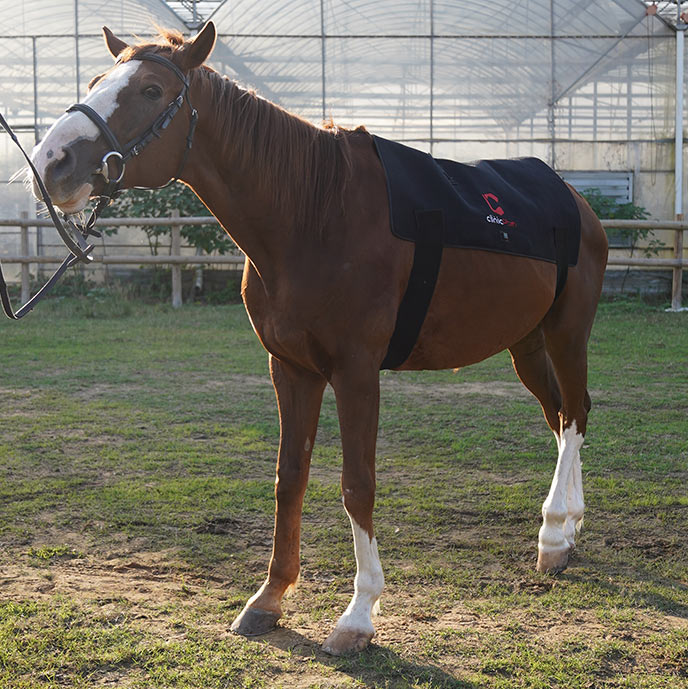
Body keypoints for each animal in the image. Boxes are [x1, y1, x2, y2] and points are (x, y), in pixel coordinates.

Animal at [30, 22, 608, 656]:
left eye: (153, 90)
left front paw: (358, 615)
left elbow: (357, 485)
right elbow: (290, 477)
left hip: (566, 332)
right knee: (563, 413)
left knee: (574, 414)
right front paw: (269, 598)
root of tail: (578, 201)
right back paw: (568, 527)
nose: (50, 162)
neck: (314, 214)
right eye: (95, 80)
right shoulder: (291, 369)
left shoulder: (356, 373)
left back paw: (553, 536)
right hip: (525, 343)